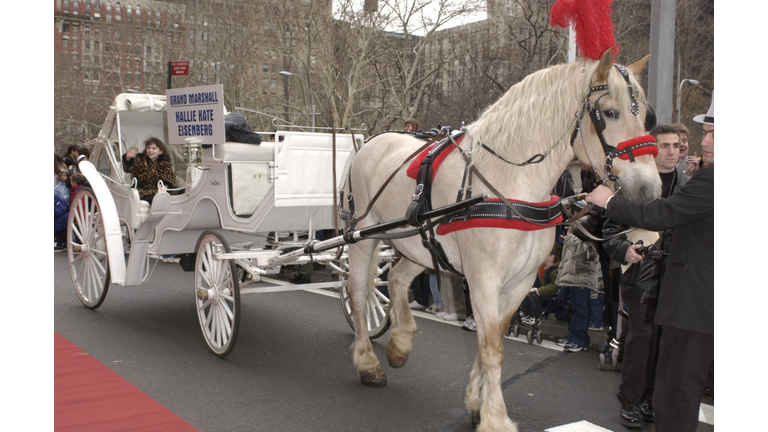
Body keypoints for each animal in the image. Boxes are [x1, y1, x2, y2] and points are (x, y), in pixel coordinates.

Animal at [342, 49, 660, 430]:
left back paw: (400, 344)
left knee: (395, 278)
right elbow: (492, 348)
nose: (650, 190)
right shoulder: (483, 279)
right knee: (358, 294)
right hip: (362, 236)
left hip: (420, 245)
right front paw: (495, 417)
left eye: (646, 117)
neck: (510, 185)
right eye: (610, 112)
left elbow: (491, 343)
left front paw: (477, 402)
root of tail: (371, 141)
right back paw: (367, 362)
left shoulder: (519, 282)